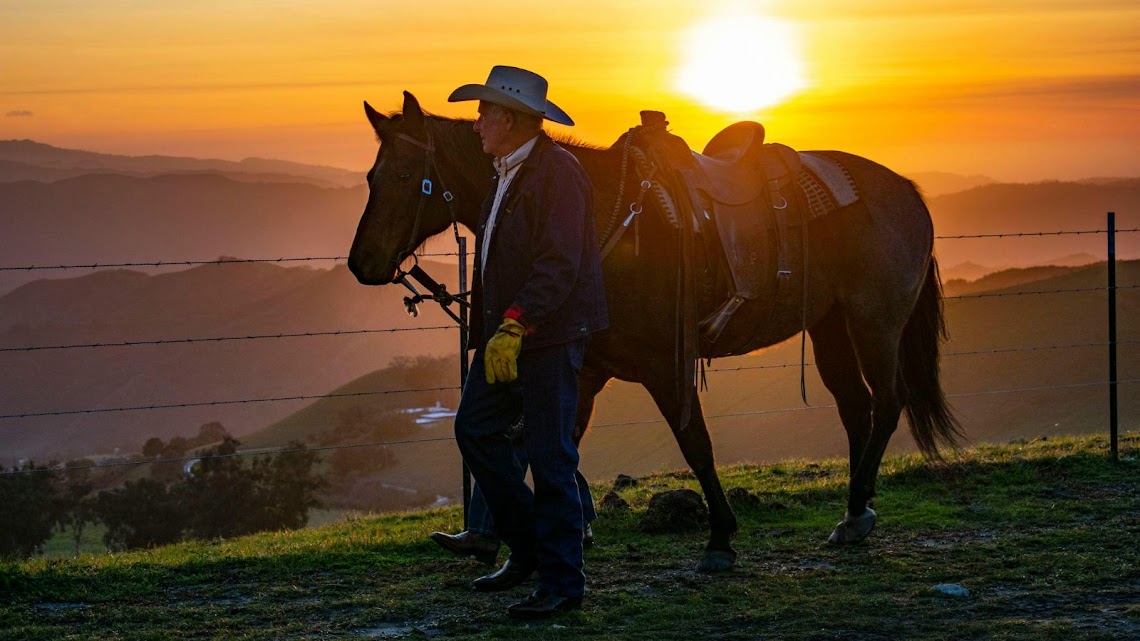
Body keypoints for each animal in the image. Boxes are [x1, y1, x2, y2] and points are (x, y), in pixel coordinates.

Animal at [348, 90, 962, 568]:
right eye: (372, 176)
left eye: (405, 175)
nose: (362, 262)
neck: (598, 214)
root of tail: (907, 192)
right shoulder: (586, 370)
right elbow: (551, 444)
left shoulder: (664, 366)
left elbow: (696, 444)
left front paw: (720, 537)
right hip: (830, 324)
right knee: (856, 407)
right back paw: (855, 512)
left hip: (874, 322)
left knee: (887, 403)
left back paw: (857, 511)